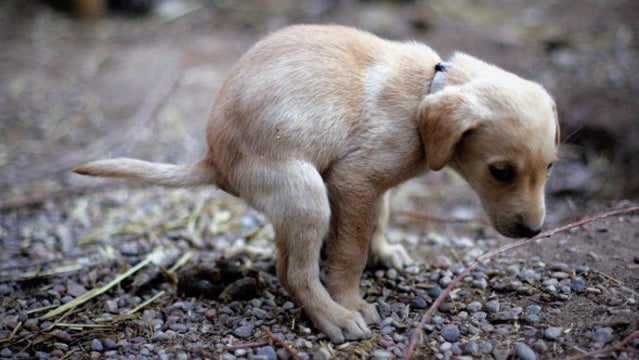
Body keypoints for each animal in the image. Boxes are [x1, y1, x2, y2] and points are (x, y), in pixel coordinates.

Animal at [75, 24, 560, 344]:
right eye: (501, 171)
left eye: (550, 168)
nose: (534, 232)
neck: (428, 87)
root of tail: (215, 159)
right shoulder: (354, 180)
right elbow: (349, 253)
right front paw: (351, 298)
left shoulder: (370, 185)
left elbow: (379, 219)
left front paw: (386, 253)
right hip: (306, 193)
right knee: (295, 273)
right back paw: (333, 317)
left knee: (288, 264)